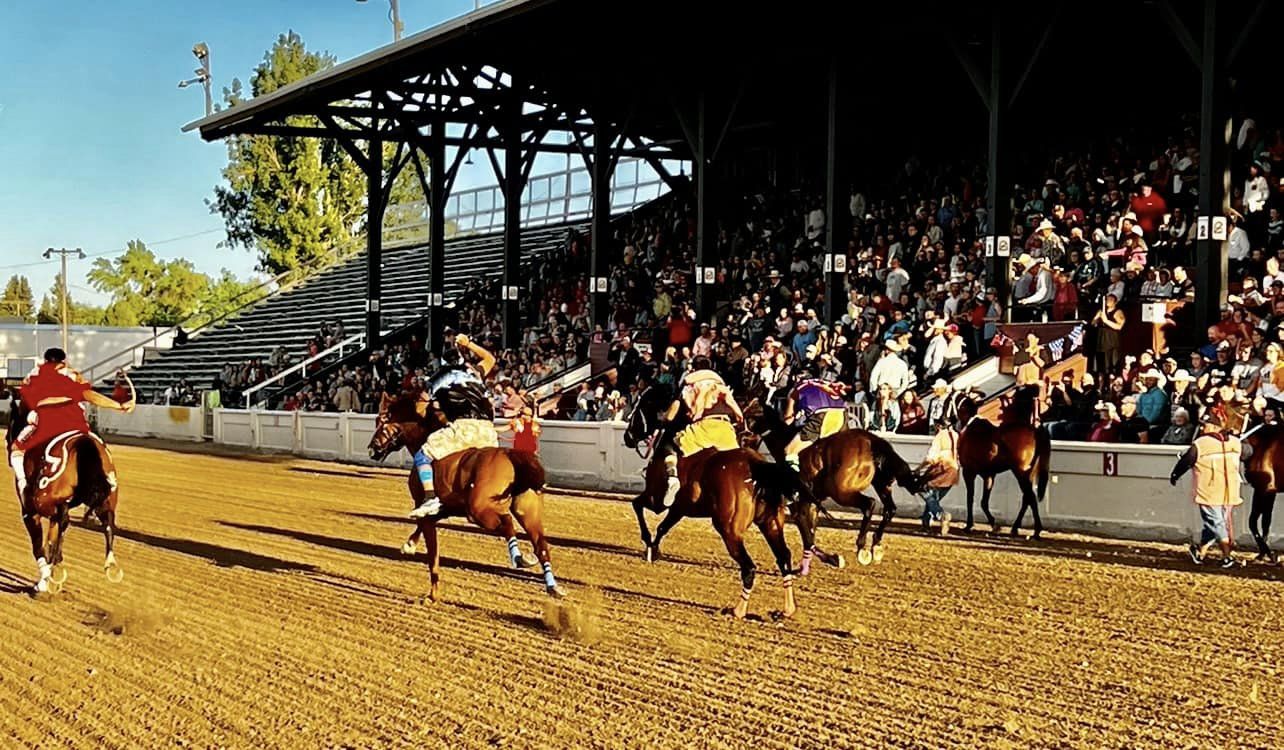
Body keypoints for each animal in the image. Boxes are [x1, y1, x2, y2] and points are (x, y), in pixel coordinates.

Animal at [4, 392, 125, 590]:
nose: (8, 441)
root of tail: (83, 441)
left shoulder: (29, 511)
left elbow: (38, 545)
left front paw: (43, 582)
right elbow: (51, 539)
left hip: (45, 501)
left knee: (64, 519)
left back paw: (57, 567)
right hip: (106, 500)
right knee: (107, 523)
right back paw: (109, 564)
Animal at [364, 390, 559, 601]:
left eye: (380, 420)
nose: (372, 448)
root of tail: (510, 456)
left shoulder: (428, 507)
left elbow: (432, 553)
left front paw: (432, 595)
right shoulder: (448, 508)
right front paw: (409, 544)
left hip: (479, 511)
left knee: (507, 523)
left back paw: (520, 558)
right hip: (528, 514)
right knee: (541, 545)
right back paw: (553, 586)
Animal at [749, 403, 939, 567]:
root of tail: (870, 440)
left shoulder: (800, 504)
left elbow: (807, 535)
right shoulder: (812, 502)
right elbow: (810, 533)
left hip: (842, 492)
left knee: (869, 504)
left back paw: (862, 546)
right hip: (881, 484)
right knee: (890, 509)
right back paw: (876, 544)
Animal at [960, 395, 1047, 536]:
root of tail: (1034, 429)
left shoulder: (968, 472)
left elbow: (970, 498)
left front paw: (969, 525)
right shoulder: (989, 475)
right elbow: (984, 502)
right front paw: (994, 524)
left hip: (1020, 472)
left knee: (1030, 497)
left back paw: (1036, 530)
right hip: (1028, 473)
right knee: (1027, 498)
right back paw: (1016, 528)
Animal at [1242, 421, 1284, 562]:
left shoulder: (1264, 490)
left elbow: (1255, 521)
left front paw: (1271, 555)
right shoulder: (1265, 491)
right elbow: (1263, 521)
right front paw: (1263, 554)